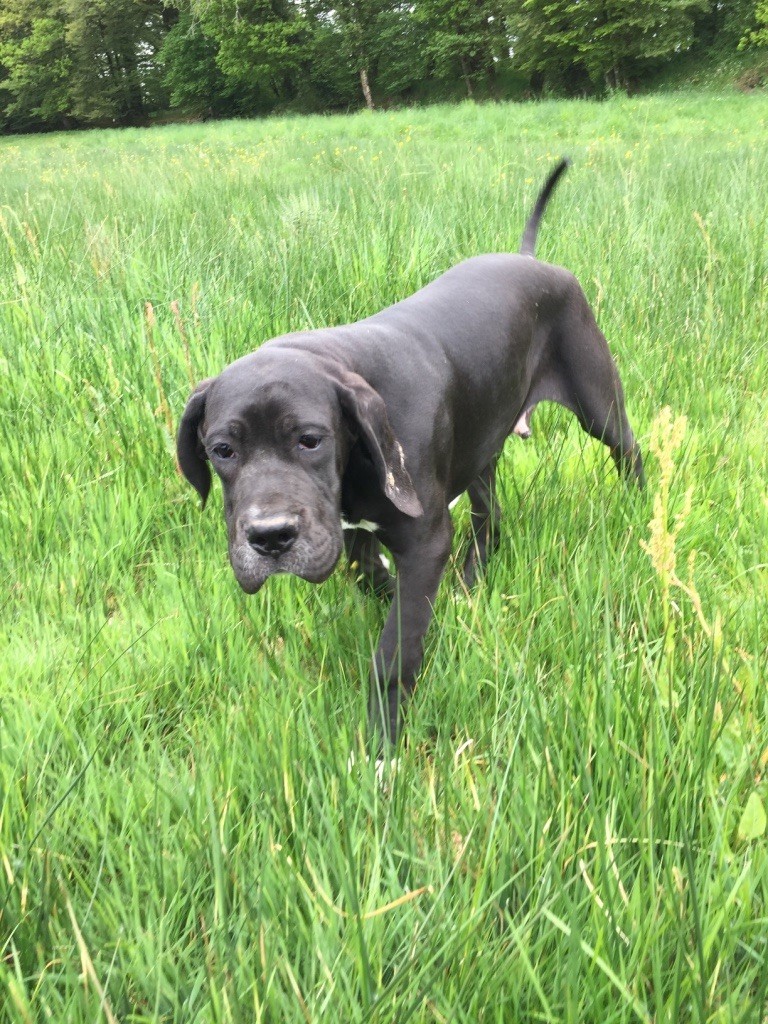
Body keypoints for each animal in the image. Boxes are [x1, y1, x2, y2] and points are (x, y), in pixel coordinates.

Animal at [177, 159, 644, 743]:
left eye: (310, 440)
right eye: (222, 449)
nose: (269, 538)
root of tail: (532, 259)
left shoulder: (423, 542)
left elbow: (394, 652)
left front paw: (382, 744)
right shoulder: (351, 527)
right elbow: (373, 576)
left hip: (599, 404)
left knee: (630, 453)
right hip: (481, 442)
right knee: (489, 515)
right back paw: (470, 581)